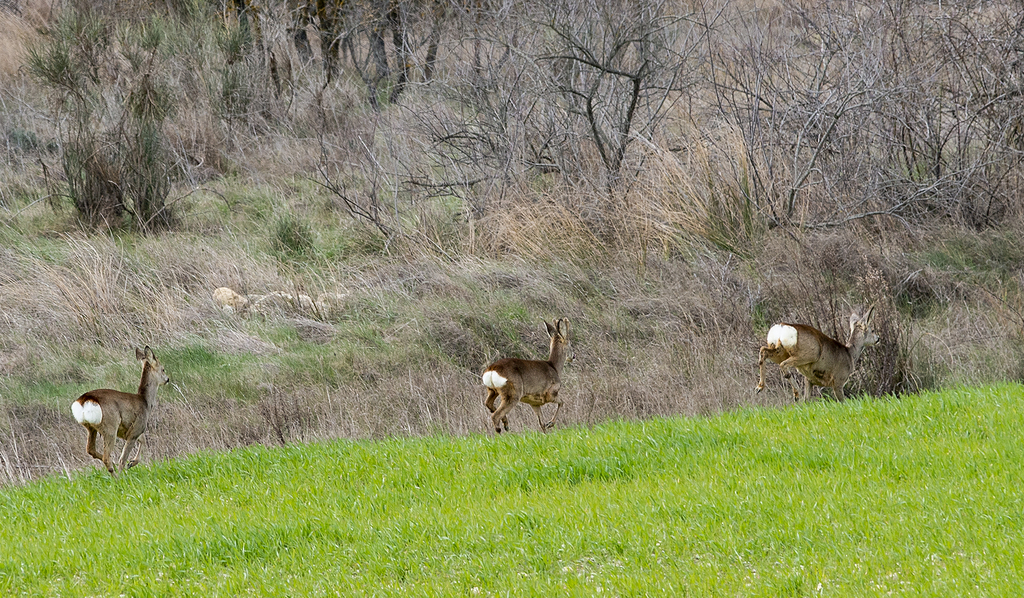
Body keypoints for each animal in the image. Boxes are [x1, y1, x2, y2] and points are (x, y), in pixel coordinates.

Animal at [71, 346, 169, 477]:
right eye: (163, 369)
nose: (167, 379)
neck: (145, 402)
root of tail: (83, 401)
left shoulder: (129, 431)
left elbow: (143, 440)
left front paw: (132, 463)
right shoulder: (137, 428)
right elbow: (123, 457)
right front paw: (127, 469)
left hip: (90, 427)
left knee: (90, 449)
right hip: (110, 426)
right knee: (106, 457)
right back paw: (117, 477)